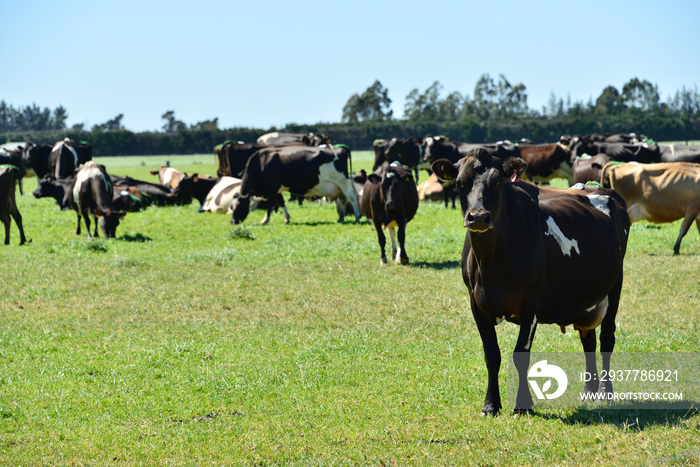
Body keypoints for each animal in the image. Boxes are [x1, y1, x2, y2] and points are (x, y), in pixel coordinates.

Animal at [434, 149, 632, 414]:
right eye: (458, 184)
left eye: (498, 183)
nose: (478, 217)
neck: (490, 263)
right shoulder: (476, 304)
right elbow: (491, 355)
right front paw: (490, 405)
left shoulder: (531, 304)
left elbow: (521, 354)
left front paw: (522, 406)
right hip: (587, 298)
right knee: (588, 340)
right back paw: (589, 392)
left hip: (614, 286)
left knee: (606, 339)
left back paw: (604, 393)